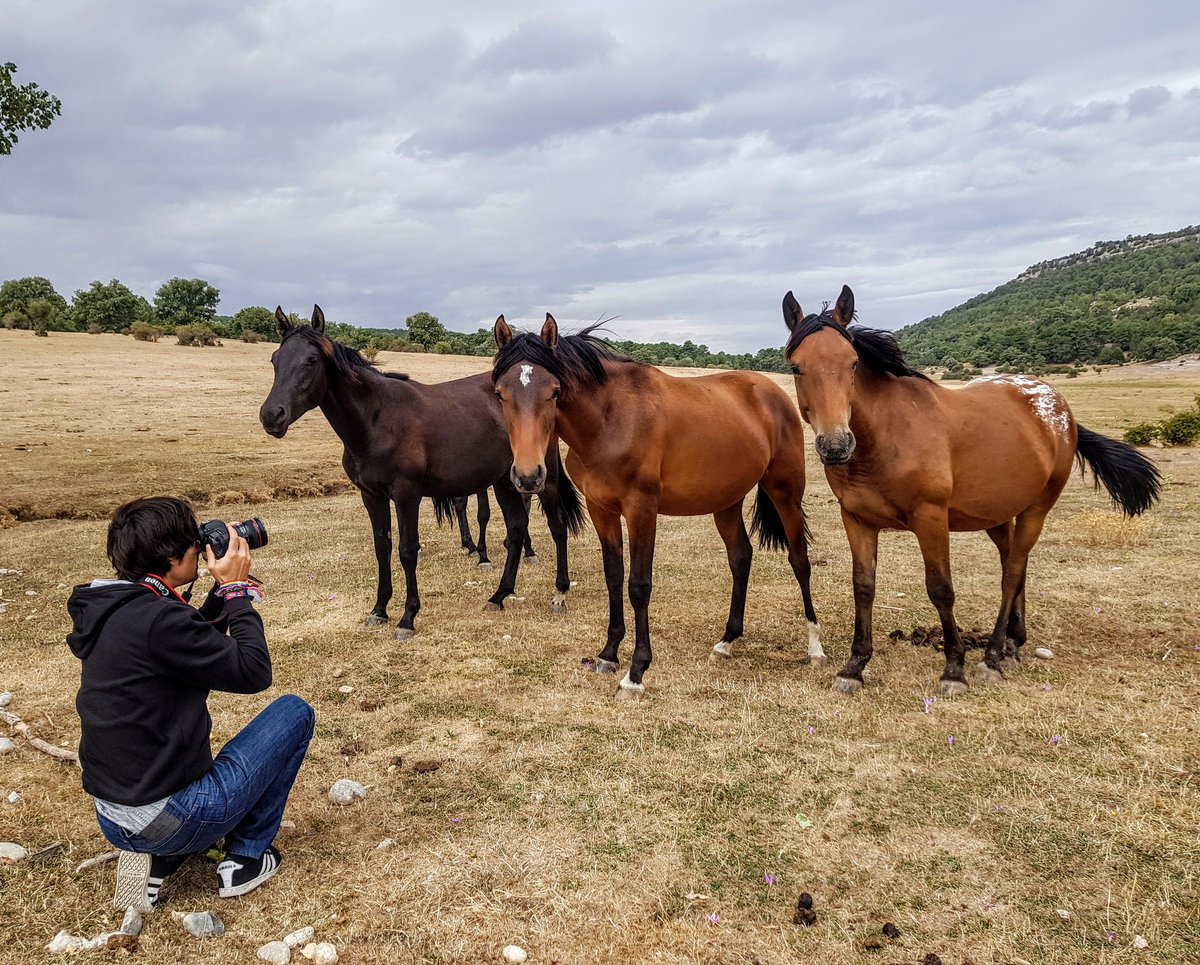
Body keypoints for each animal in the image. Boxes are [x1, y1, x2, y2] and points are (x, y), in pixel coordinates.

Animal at [259, 306, 584, 640]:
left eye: (311, 360)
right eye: (275, 359)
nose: (272, 415)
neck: (377, 420)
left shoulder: (407, 496)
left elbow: (407, 550)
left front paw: (407, 617)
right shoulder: (371, 496)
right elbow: (382, 548)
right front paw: (379, 610)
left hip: (541, 479)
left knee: (557, 526)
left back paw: (558, 594)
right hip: (505, 482)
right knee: (517, 529)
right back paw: (499, 595)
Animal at [491, 313, 826, 699]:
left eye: (555, 391)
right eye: (500, 393)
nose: (528, 475)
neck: (609, 422)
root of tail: (772, 392)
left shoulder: (641, 510)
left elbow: (638, 585)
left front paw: (636, 673)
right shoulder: (601, 509)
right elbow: (614, 575)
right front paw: (608, 654)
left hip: (785, 492)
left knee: (800, 561)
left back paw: (815, 647)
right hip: (726, 501)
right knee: (741, 558)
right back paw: (726, 641)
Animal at [782, 285, 1161, 696]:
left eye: (852, 363)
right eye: (796, 367)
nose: (835, 445)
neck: (885, 437)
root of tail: (1058, 407)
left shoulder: (931, 519)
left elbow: (940, 589)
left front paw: (953, 669)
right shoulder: (857, 520)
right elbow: (863, 587)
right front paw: (854, 667)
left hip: (1036, 510)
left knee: (1012, 574)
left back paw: (993, 656)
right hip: (998, 515)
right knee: (1014, 565)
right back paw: (1012, 644)